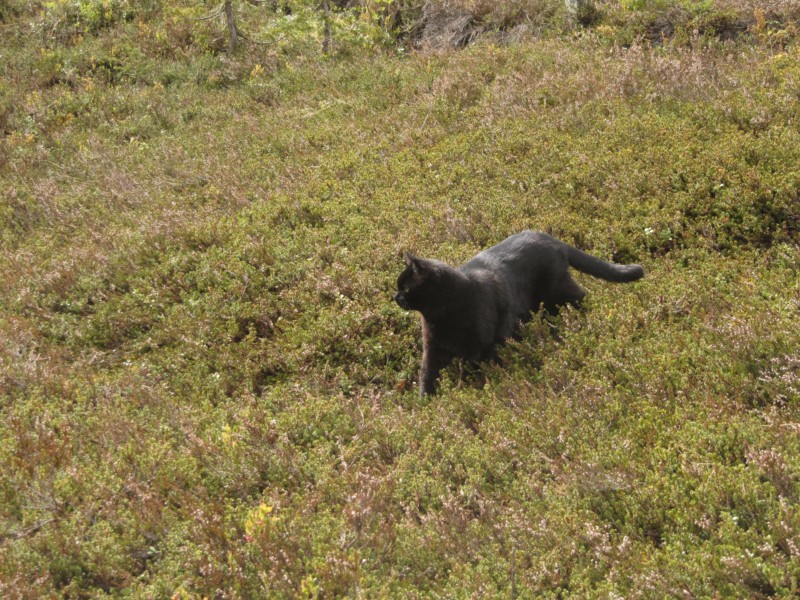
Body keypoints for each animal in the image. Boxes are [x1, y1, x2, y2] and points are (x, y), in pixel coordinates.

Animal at [394, 232, 644, 396]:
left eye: (405, 288)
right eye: (398, 287)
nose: (395, 296)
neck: (441, 314)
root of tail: (549, 237)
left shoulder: (482, 345)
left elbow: (478, 371)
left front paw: (475, 392)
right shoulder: (433, 346)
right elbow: (427, 373)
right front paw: (426, 401)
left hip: (556, 292)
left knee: (581, 296)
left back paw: (590, 319)